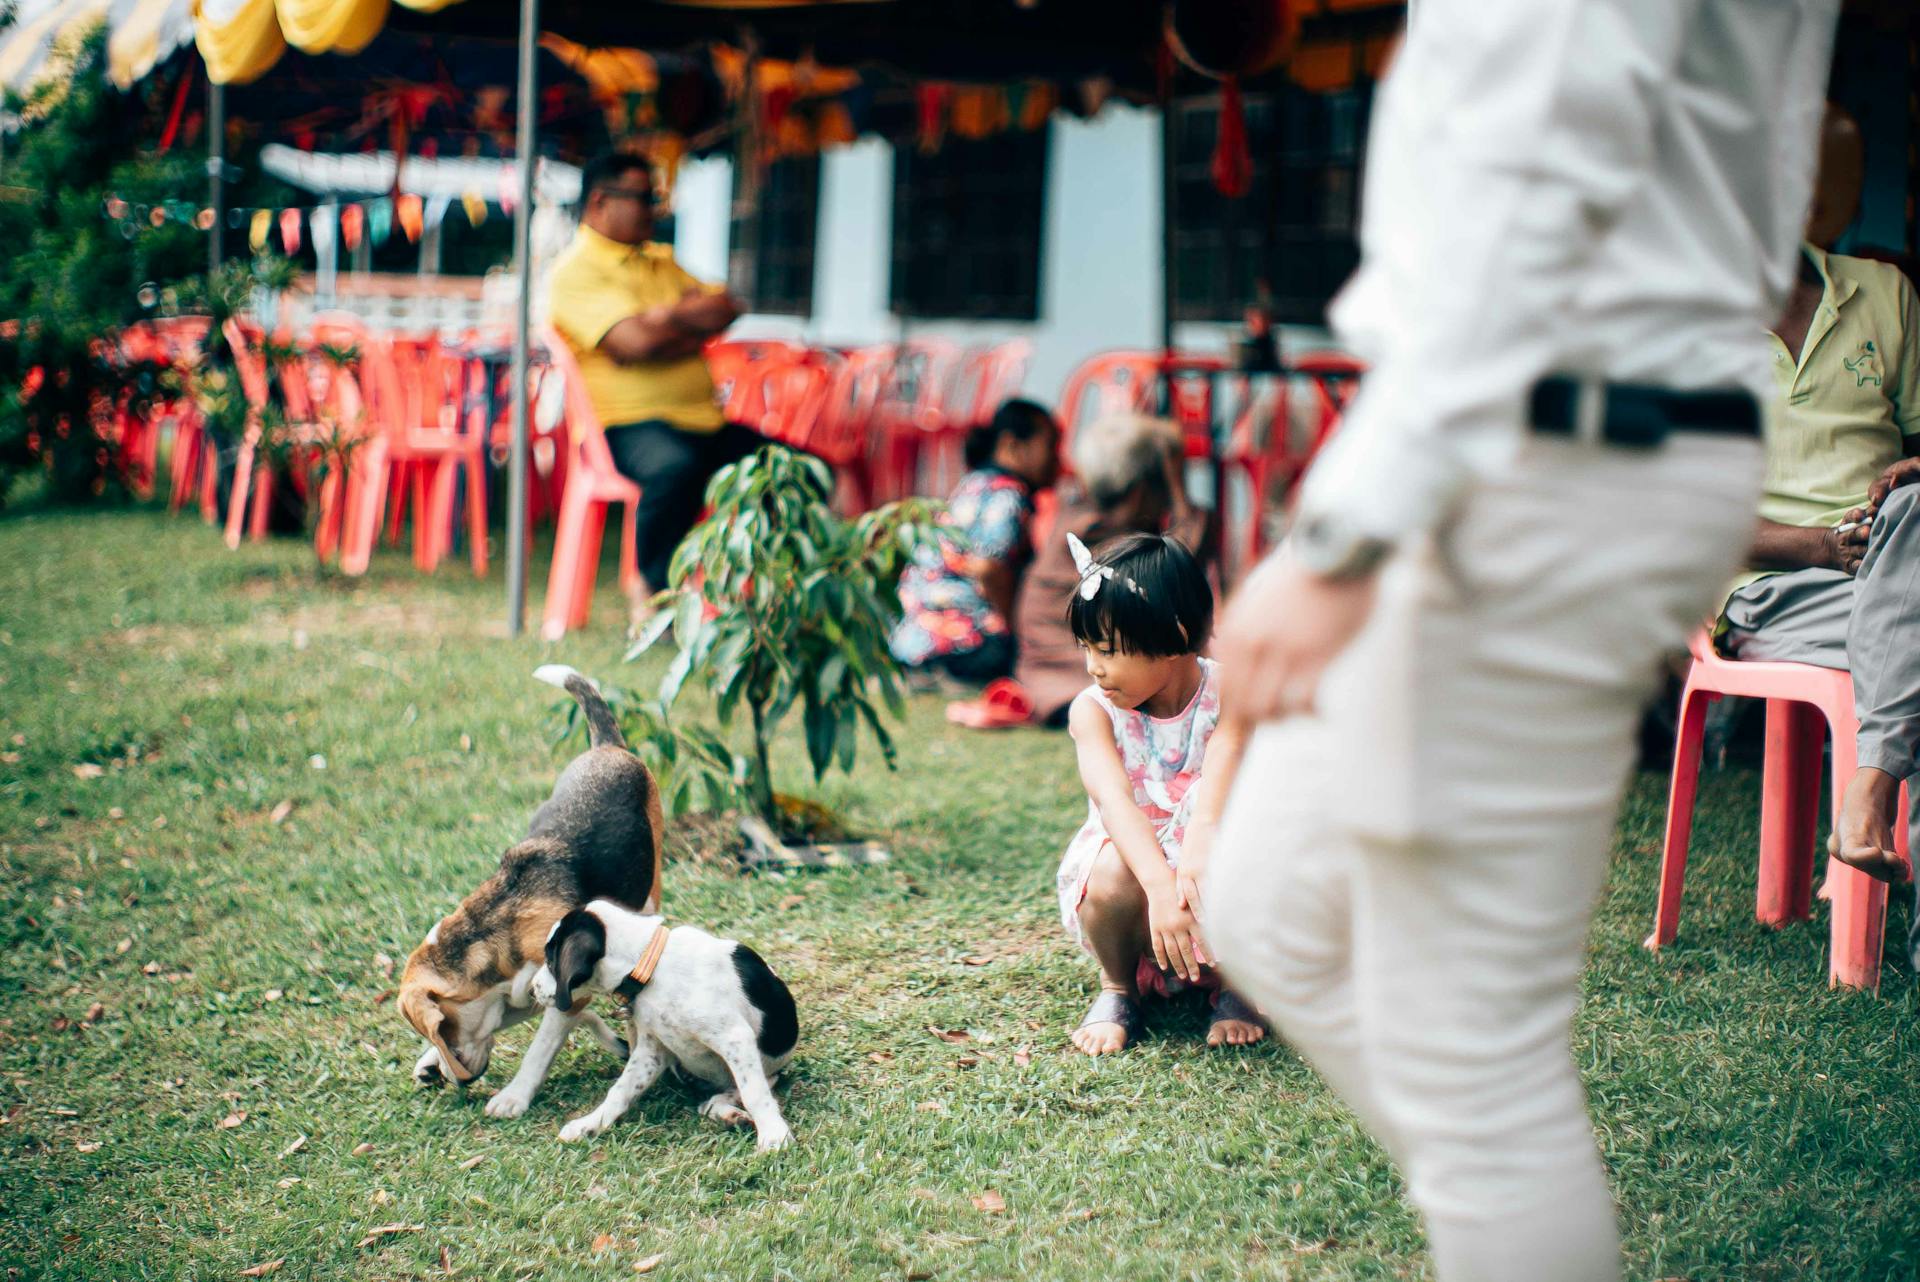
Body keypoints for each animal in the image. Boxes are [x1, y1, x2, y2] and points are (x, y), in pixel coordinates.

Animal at [397, 667, 660, 1113]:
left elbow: (540, 1048)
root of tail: (607, 747)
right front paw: (431, 1062)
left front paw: (514, 1097)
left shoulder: (563, 993)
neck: (491, 932)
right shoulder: (518, 996)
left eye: (444, 1029)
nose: (457, 1080)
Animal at [533, 902, 794, 1151]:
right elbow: (620, 1090)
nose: (533, 988)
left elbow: (755, 1094)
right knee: (708, 1105)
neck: (652, 969)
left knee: (741, 1090)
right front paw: (590, 1124)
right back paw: (729, 1115)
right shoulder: (652, 1051)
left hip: (764, 1069)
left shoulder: (735, 1039)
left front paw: (773, 1135)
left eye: (550, 961)